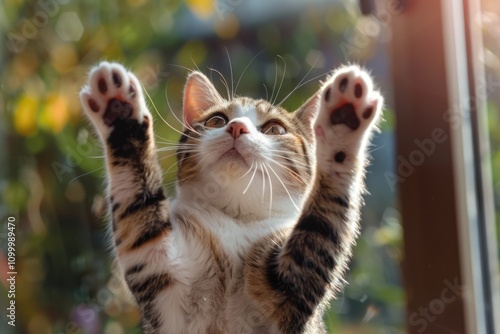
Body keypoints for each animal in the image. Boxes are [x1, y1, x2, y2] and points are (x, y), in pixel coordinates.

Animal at [79, 60, 382, 334]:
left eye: (275, 128)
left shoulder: (294, 287)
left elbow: (322, 224)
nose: (237, 127)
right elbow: (138, 215)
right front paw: (119, 112)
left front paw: (343, 121)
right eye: (217, 120)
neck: (236, 219)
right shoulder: (160, 270)